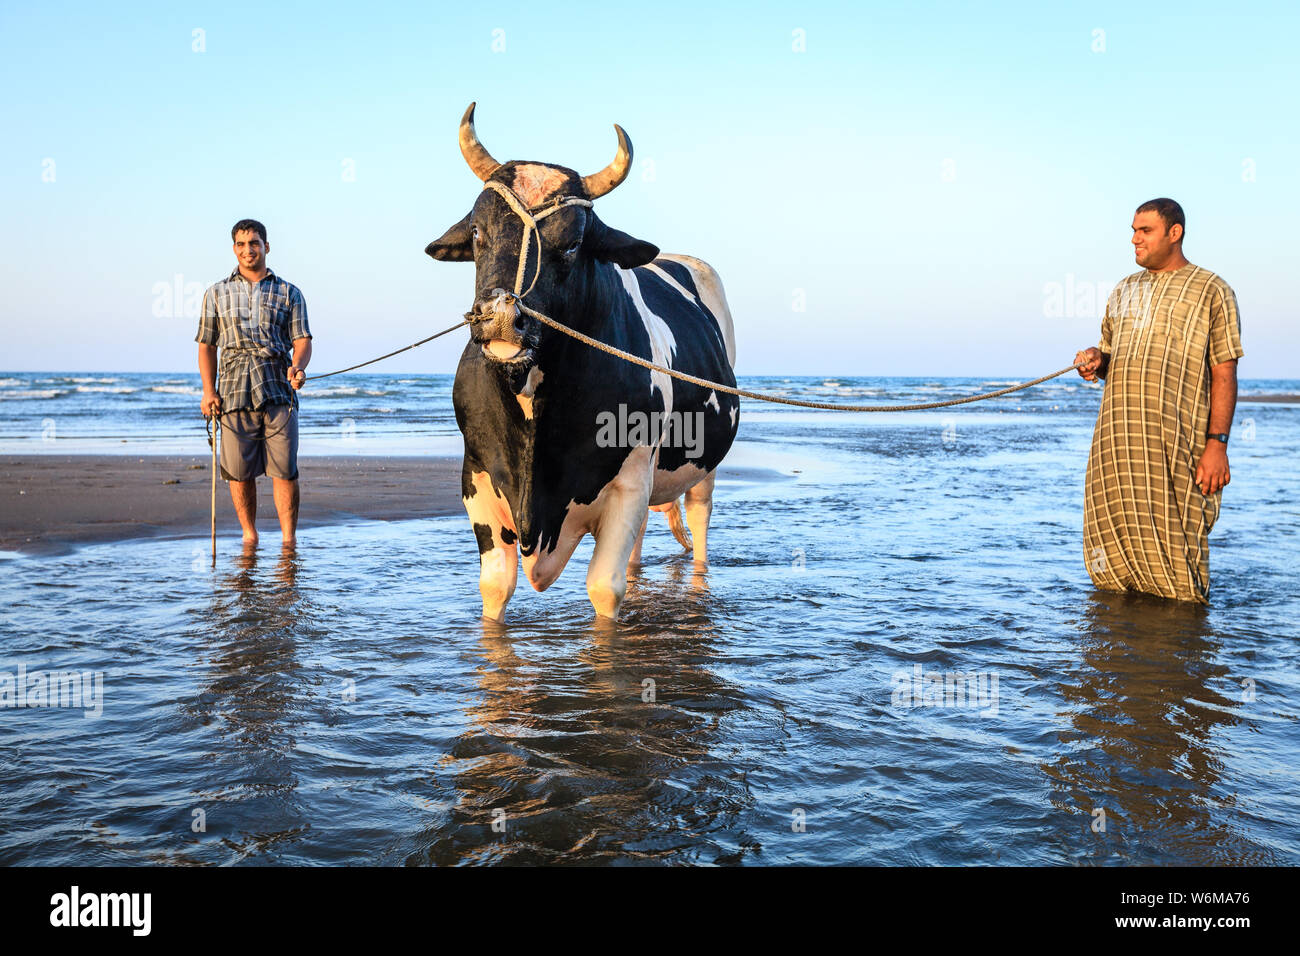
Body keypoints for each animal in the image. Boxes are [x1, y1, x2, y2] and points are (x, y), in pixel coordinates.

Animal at [428, 106, 743, 621]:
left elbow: (604, 589)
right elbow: (495, 588)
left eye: (574, 242)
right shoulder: (477, 478)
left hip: (703, 468)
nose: (501, 318)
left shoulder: (628, 485)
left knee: (699, 522)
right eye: (477, 231)